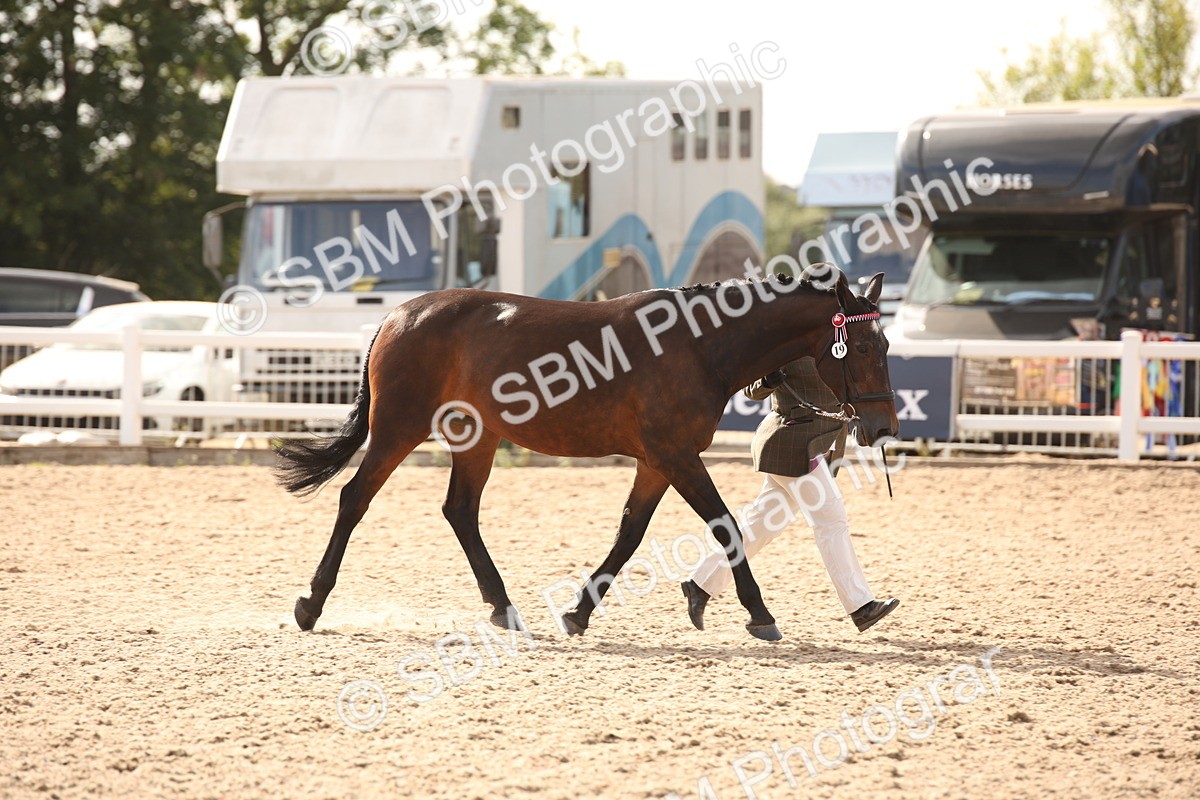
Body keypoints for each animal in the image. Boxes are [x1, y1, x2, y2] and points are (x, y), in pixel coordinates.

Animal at [276, 269, 898, 641]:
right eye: (865, 348)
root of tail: (397, 315)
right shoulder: (675, 455)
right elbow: (724, 525)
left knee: (460, 511)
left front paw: (578, 613)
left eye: (887, 344)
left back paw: (503, 608)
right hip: (398, 429)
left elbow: (629, 533)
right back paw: (310, 605)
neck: (699, 345)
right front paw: (760, 616)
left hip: (476, 437)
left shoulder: (656, 462)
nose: (883, 427)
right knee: (355, 498)